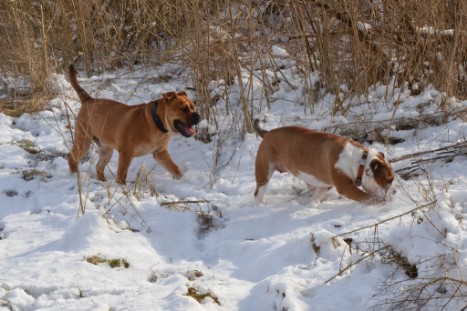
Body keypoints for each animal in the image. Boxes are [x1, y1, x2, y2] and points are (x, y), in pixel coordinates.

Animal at [67, 64, 199, 184]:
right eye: (184, 109)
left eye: (193, 107)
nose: (197, 115)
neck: (157, 123)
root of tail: (88, 99)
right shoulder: (126, 154)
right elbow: (121, 176)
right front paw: (122, 187)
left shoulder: (160, 153)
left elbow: (175, 169)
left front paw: (183, 180)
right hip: (83, 140)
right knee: (72, 156)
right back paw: (75, 175)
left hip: (106, 150)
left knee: (99, 166)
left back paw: (102, 181)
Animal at [254, 120, 396, 206]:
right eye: (389, 179)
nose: (394, 192)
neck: (360, 161)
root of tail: (268, 133)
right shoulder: (345, 187)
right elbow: (367, 197)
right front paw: (381, 204)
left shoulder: (325, 185)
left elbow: (317, 195)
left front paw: (313, 204)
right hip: (264, 172)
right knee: (258, 193)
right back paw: (262, 205)